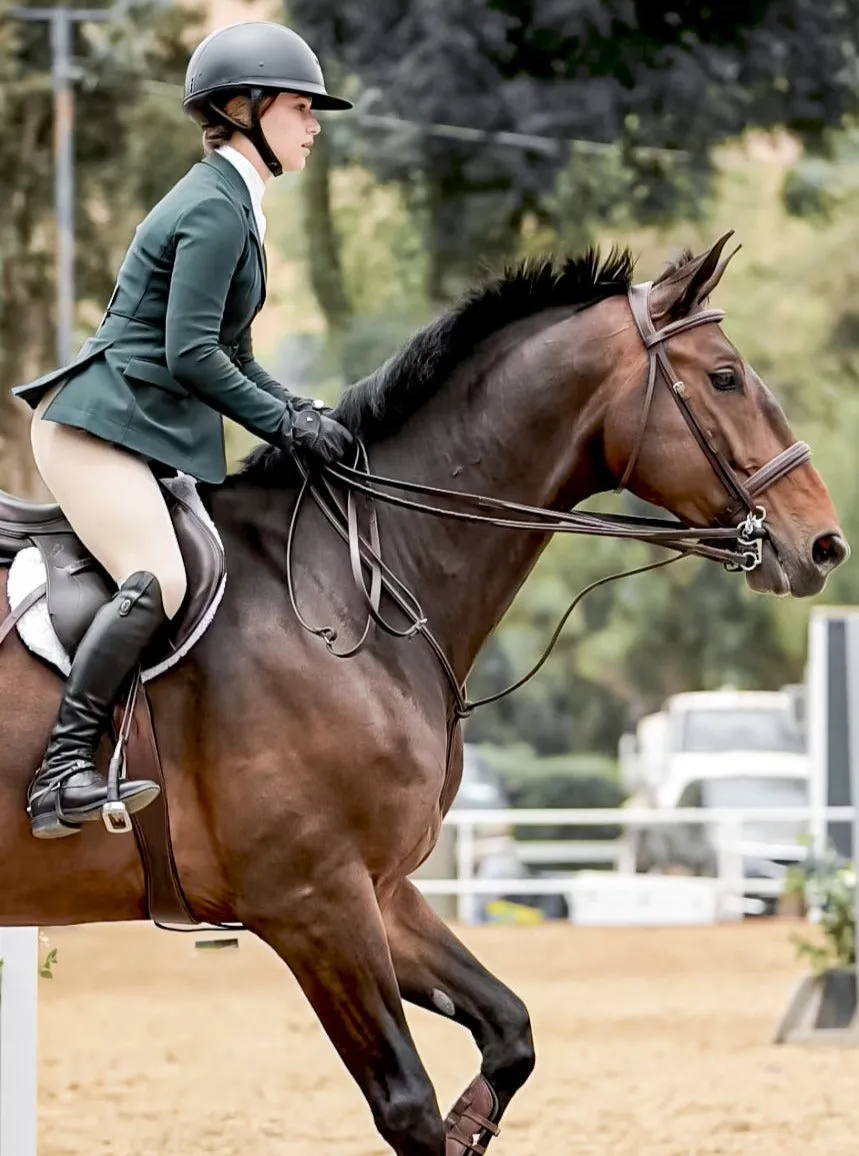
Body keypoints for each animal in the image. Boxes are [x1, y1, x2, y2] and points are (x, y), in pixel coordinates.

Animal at [0, 230, 846, 1151]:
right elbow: (406, 1103)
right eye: (725, 376)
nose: (822, 544)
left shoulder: (380, 890)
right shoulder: (313, 903)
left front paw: (473, 1122)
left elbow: (508, 1032)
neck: (351, 583)